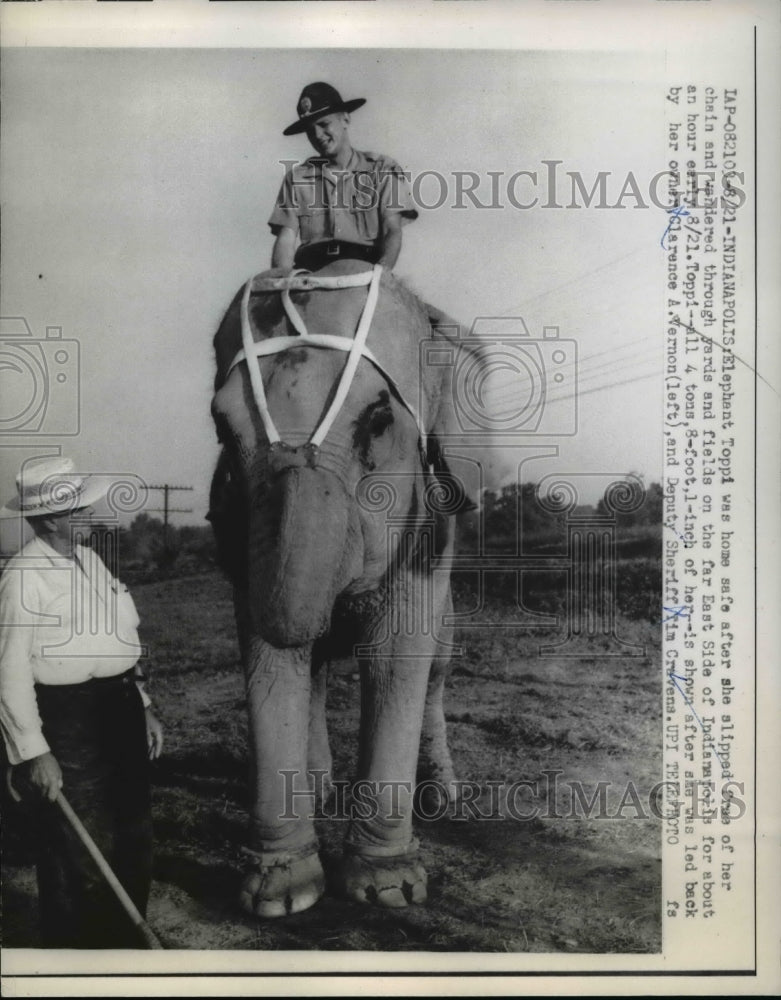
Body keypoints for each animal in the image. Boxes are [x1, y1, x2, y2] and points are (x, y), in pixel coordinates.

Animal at [210, 259, 485, 918]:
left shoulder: (426, 523)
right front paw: (280, 897)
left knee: (436, 669)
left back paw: (441, 800)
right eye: (221, 429)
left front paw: (389, 889)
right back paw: (319, 791)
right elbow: (269, 652)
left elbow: (395, 656)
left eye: (379, 421)